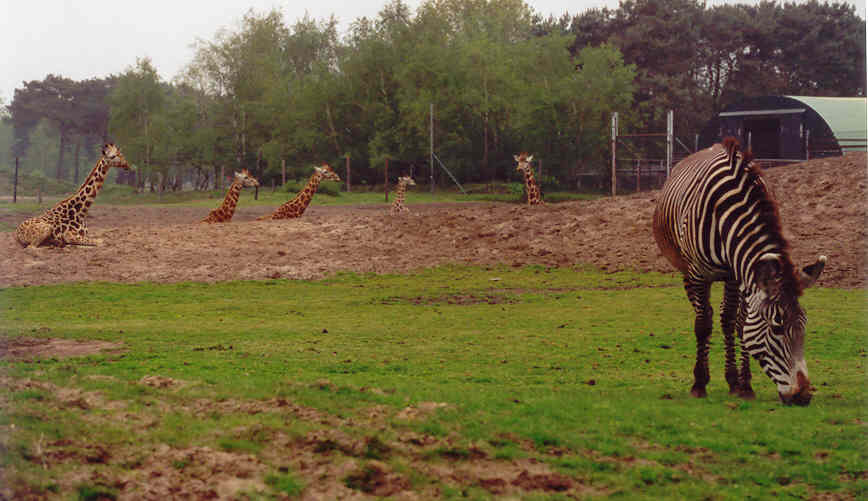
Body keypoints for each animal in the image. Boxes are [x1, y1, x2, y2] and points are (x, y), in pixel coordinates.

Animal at [652, 138, 828, 406]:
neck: (727, 215)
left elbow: (736, 323)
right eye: (777, 328)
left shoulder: (738, 274)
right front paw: (699, 384)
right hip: (686, 271)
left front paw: (741, 384)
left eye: (804, 326)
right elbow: (703, 325)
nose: (803, 396)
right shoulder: (698, 273)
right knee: (704, 313)